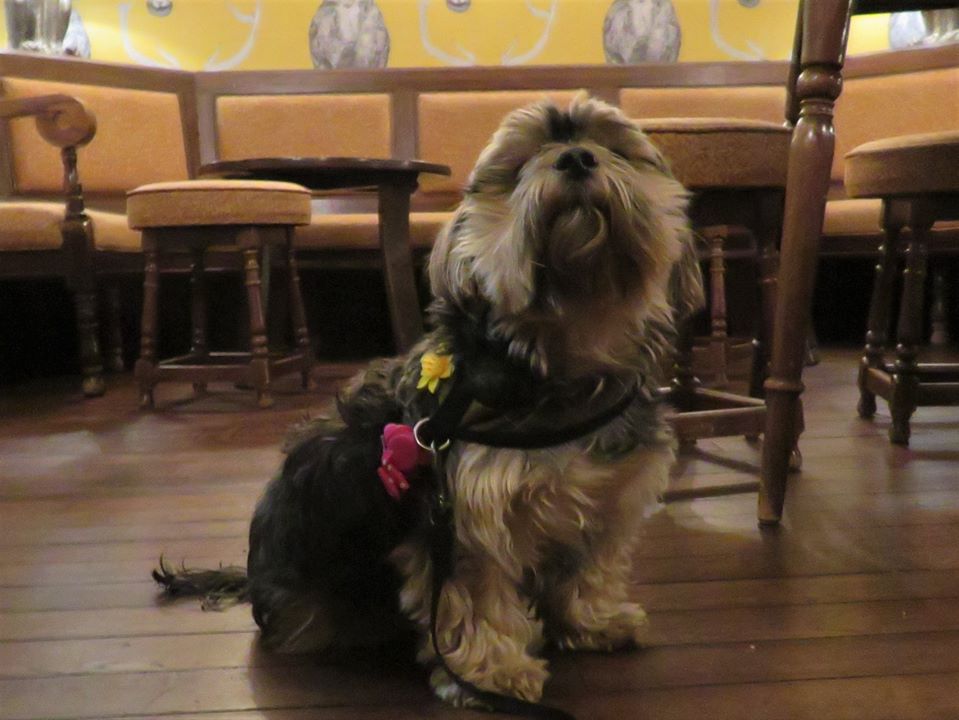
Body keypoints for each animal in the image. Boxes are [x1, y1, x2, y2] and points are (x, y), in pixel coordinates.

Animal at [155, 92, 703, 711]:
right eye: (520, 164)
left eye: (615, 148)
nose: (577, 158)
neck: (568, 354)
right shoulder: (465, 516)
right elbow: (477, 596)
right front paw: (494, 671)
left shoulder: (610, 499)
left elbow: (589, 568)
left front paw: (594, 622)